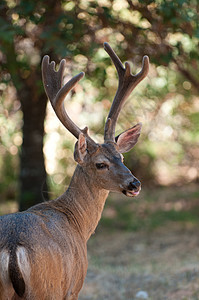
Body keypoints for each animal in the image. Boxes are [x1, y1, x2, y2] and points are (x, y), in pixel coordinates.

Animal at [0, 42, 149, 300]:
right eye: (100, 164)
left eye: (121, 157)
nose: (134, 184)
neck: (78, 224)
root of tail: (11, 246)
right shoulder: (73, 287)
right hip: (47, 287)